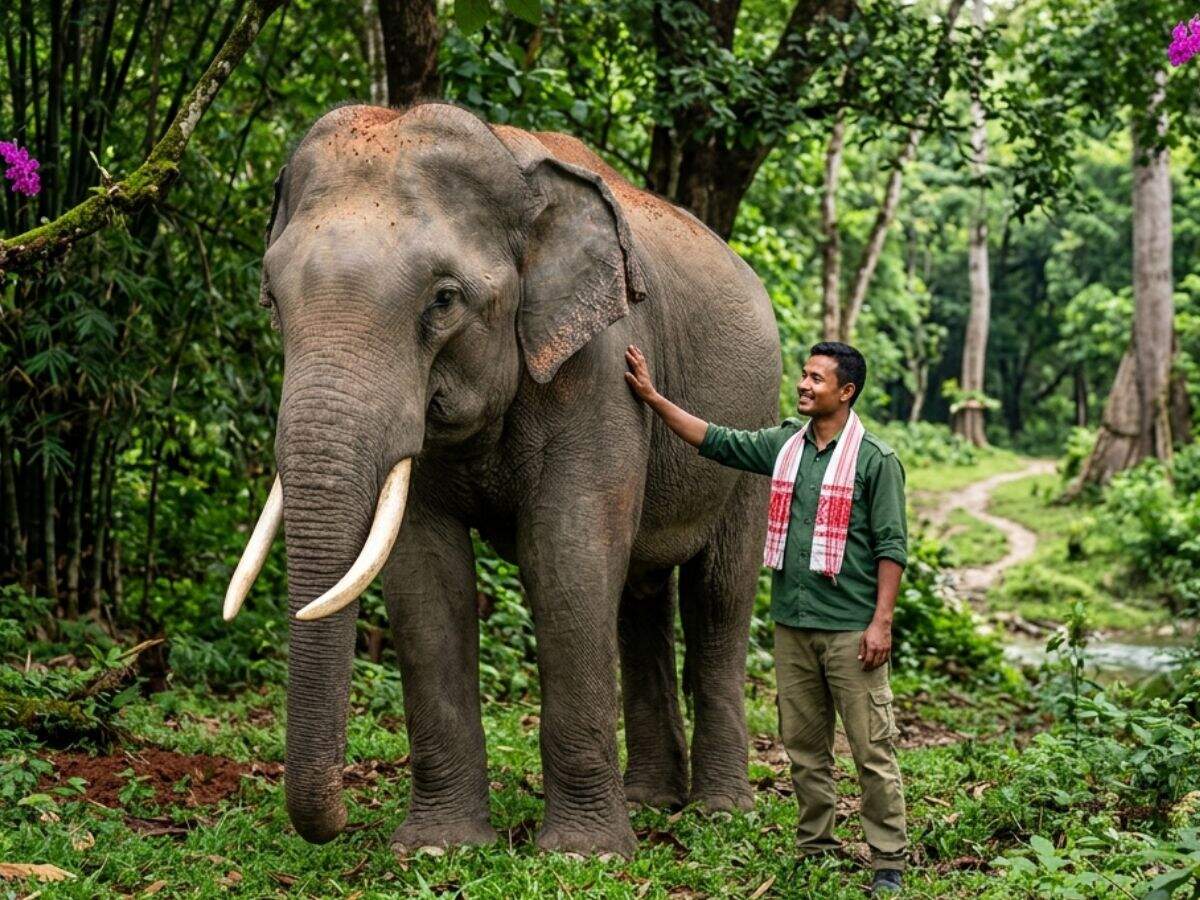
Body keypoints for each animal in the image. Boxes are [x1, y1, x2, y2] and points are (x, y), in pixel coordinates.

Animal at [222, 101, 782, 858]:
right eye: (274, 301)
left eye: (444, 300)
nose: (338, 824)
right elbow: (425, 575)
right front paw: (439, 846)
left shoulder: (601, 365)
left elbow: (566, 557)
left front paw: (582, 856)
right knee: (638, 597)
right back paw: (651, 800)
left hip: (758, 427)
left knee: (719, 596)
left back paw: (720, 813)